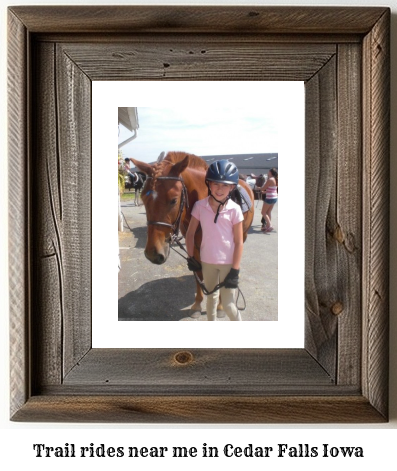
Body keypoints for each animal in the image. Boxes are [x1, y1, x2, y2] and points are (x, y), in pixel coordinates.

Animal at [130, 151, 254, 318]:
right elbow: (198, 273)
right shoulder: (193, 246)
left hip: (243, 235)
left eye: (173, 200)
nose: (153, 254)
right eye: (143, 197)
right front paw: (197, 304)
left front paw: (220, 306)